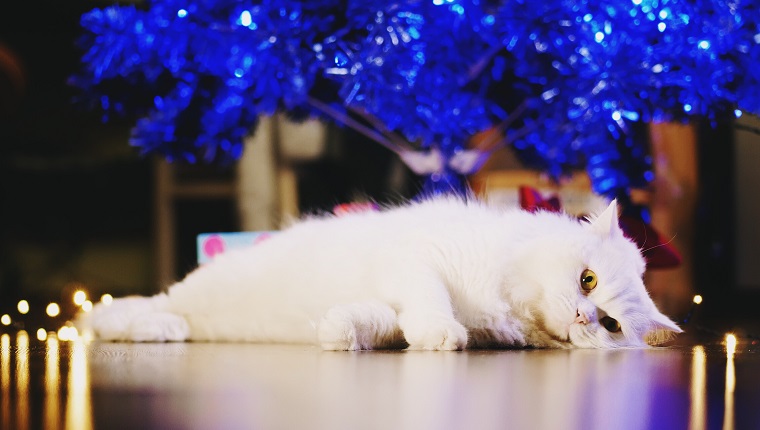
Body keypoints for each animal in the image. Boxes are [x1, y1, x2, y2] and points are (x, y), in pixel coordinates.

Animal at [83, 196, 684, 350]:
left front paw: (337, 334)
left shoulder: (391, 304)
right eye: (587, 281)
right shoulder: (420, 261)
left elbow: (374, 323)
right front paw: (442, 336)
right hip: (195, 291)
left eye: (610, 325)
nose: (583, 317)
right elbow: (431, 304)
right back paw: (142, 327)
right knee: (133, 309)